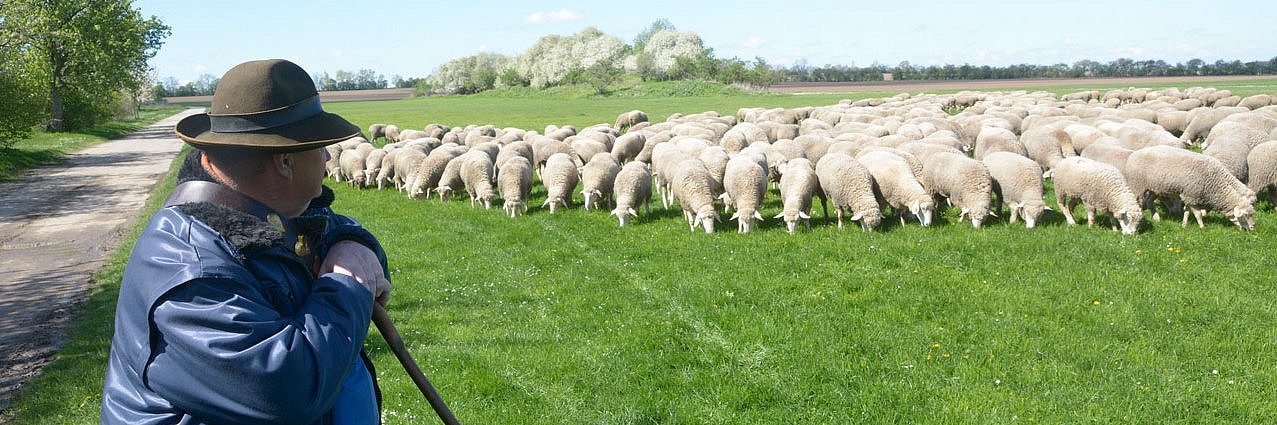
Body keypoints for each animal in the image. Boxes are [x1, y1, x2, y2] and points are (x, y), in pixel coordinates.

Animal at [1128, 146, 1256, 232]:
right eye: (1245, 215)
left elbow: (1187, 212)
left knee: (1149, 200)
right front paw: (1202, 227)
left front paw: (1184, 225)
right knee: (1138, 201)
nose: (1253, 227)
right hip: (1137, 184)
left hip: (1156, 188)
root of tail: (1134, 154)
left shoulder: (1189, 196)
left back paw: (1156, 218)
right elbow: (1198, 214)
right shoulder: (1191, 195)